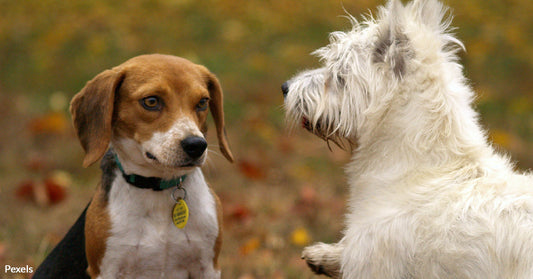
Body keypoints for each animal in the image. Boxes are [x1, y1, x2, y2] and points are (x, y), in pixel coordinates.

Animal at [33, 53, 233, 278]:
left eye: (202, 102)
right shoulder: (107, 268)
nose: (196, 145)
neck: (158, 189)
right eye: (151, 101)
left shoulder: (208, 266)